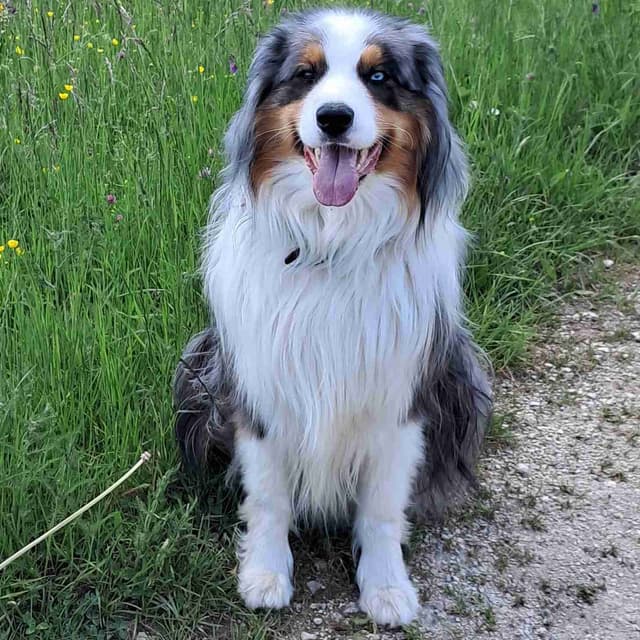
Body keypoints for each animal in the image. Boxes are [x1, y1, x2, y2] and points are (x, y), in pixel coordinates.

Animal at [173, 8, 492, 627]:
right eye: (306, 74)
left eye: (379, 76)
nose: (334, 117)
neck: (331, 243)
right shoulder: (260, 390)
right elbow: (269, 496)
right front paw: (265, 574)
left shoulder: (401, 399)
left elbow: (382, 506)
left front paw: (386, 586)